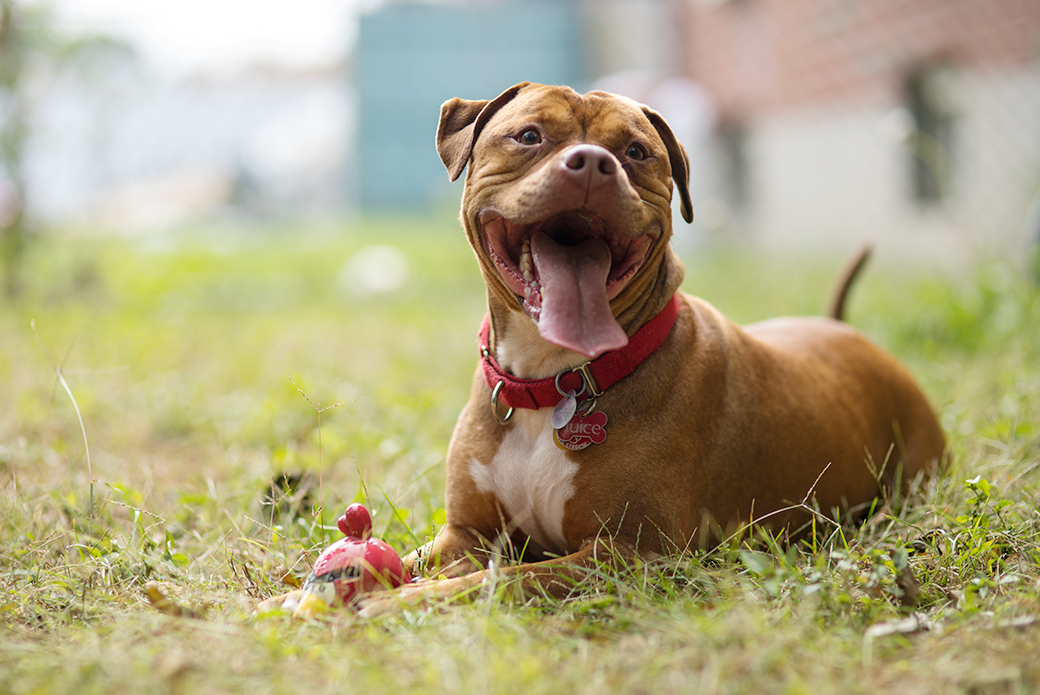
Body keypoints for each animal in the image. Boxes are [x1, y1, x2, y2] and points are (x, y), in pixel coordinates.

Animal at [257, 82, 944, 620]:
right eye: (528, 136)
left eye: (636, 152)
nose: (590, 163)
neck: (551, 383)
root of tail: (843, 330)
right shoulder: (467, 533)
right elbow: (411, 557)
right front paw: (297, 594)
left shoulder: (629, 556)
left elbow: (495, 584)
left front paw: (388, 605)